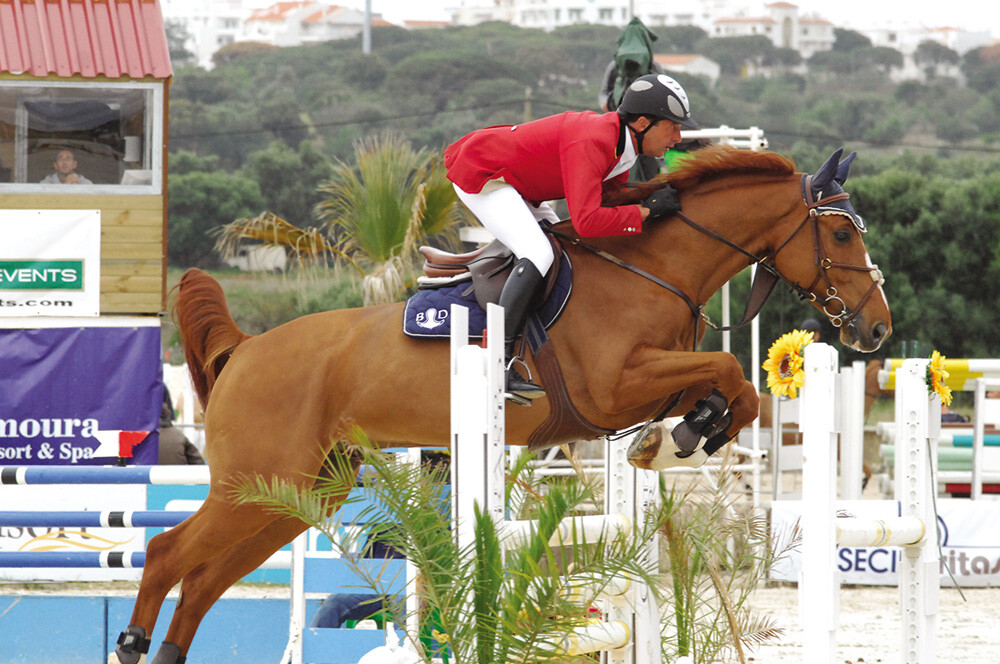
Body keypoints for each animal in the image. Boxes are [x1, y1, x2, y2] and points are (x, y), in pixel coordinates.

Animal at [109, 147, 892, 664]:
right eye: (841, 232)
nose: (878, 329)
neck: (651, 268)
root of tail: (246, 349)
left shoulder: (643, 384)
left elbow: (736, 389)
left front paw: (679, 435)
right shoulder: (611, 387)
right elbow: (731, 371)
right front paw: (683, 436)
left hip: (299, 494)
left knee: (204, 579)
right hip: (256, 482)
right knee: (167, 553)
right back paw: (132, 643)